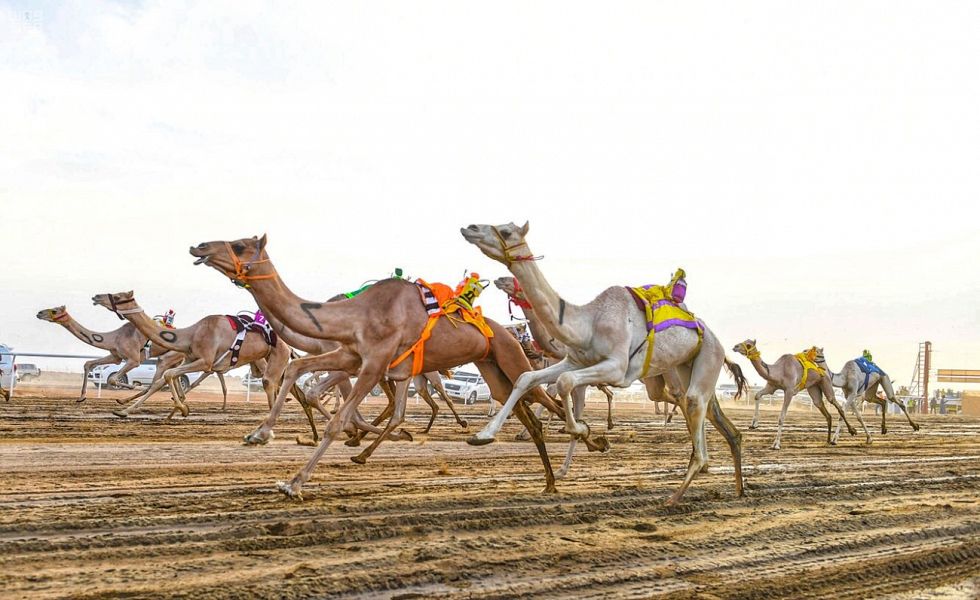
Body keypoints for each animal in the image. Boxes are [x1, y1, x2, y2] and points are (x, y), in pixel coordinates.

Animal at [90, 292, 290, 422]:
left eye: (118, 297)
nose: (96, 297)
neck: (192, 334)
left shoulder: (205, 361)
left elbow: (169, 376)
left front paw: (180, 408)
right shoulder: (191, 360)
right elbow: (167, 378)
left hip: (276, 355)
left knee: (270, 383)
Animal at [189, 234, 592, 496]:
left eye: (239, 245)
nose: (199, 246)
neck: (355, 313)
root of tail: (508, 334)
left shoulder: (373, 364)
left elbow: (338, 421)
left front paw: (294, 483)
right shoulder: (352, 356)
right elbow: (297, 371)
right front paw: (258, 434)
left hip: (509, 357)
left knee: (544, 397)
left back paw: (587, 443)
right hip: (493, 369)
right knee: (527, 408)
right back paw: (551, 479)